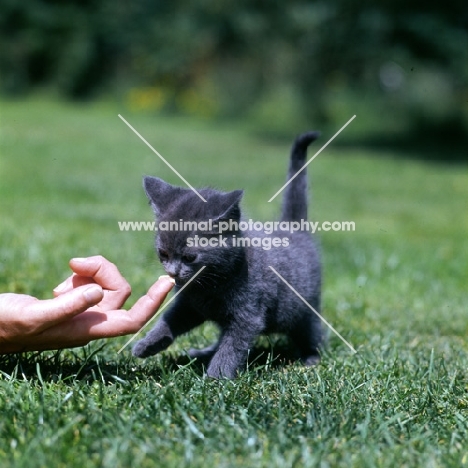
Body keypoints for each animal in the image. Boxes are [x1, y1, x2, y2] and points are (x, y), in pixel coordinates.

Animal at [132, 131, 322, 376]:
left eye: (189, 257)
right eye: (163, 253)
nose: (173, 273)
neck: (209, 285)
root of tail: (292, 227)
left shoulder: (247, 315)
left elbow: (233, 346)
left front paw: (216, 377)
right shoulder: (189, 306)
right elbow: (169, 320)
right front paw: (148, 343)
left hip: (305, 307)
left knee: (314, 333)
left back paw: (311, 358)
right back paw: (202, 353)